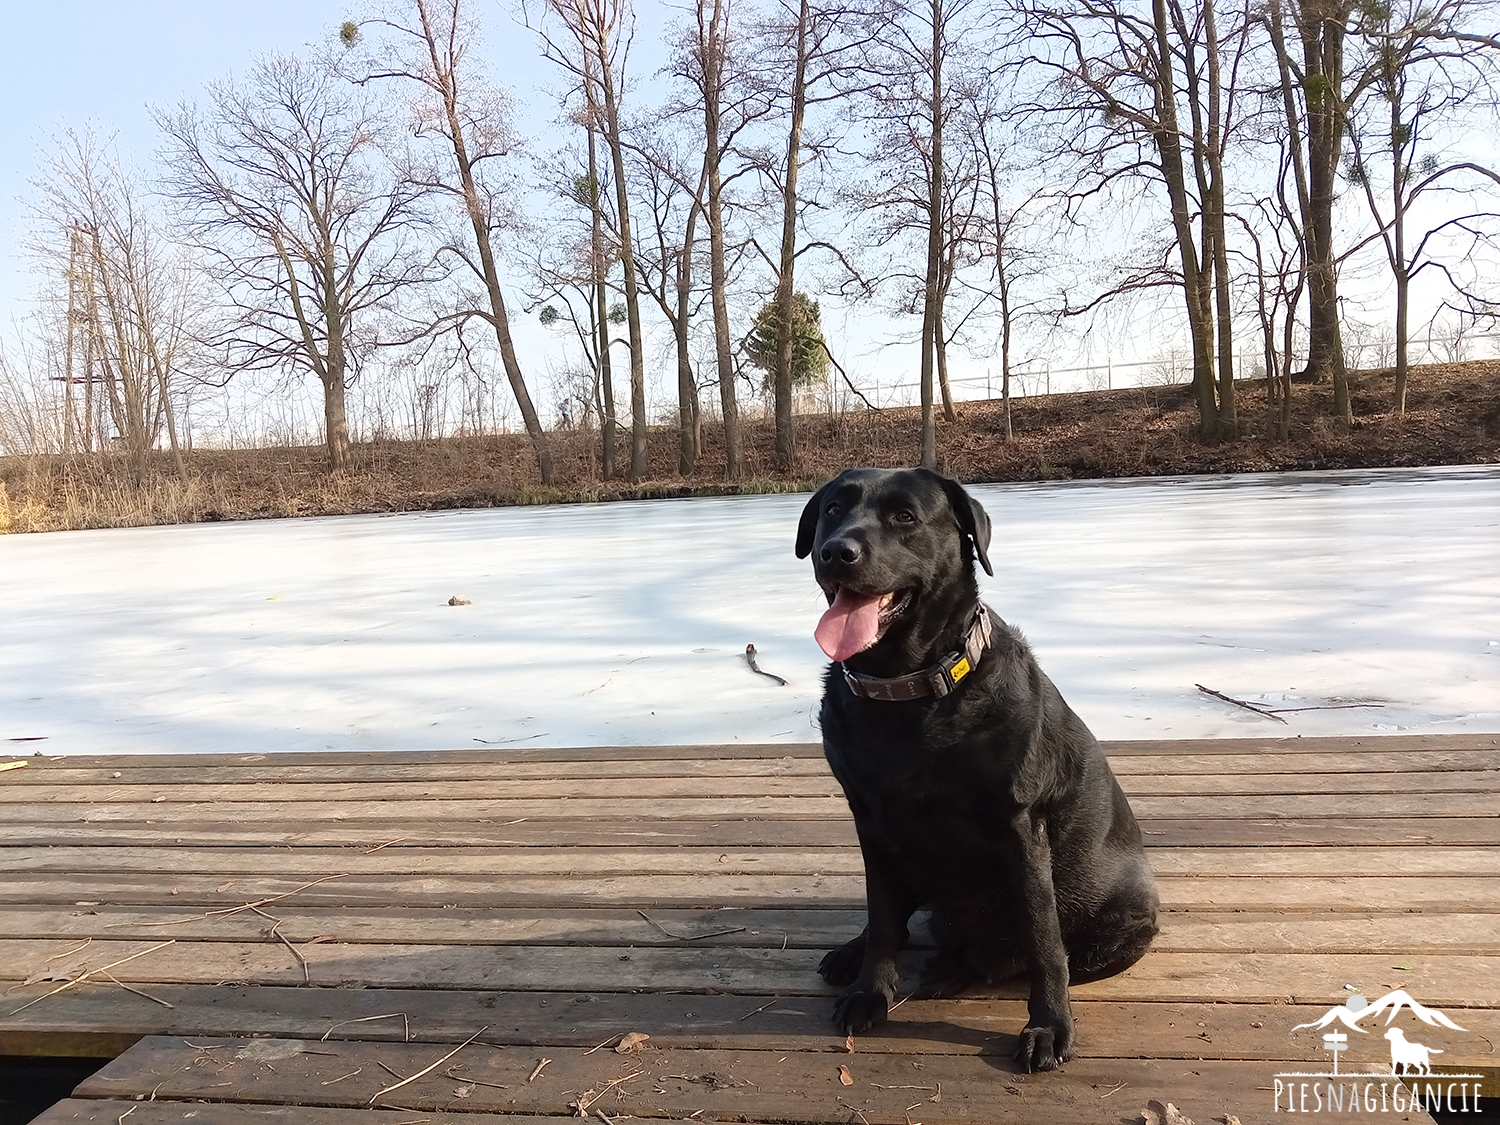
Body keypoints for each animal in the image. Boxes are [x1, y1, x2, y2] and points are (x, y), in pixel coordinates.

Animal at [798, 468, 1158, 1074]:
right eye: (832, 511)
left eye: (905, 517)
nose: (835, 552)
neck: (905, 694)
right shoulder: (871, 823)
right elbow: (884, 920)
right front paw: (871, 990)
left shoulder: (1020, 828)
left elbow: (1042, 941)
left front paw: (1049, 1026)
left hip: (1122, 926)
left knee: (1014, 954)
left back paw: (956, 968)